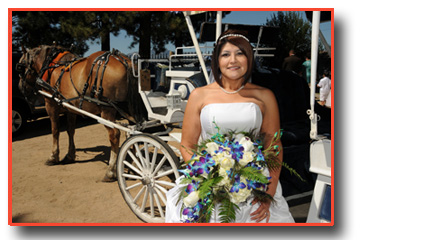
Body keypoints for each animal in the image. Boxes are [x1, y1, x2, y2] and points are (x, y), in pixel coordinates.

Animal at [17, 45, 145, 181]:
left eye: (19, 66)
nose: (20, 87)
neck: (51, 66)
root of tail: (125, 61)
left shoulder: (50, 105)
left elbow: (55, 130)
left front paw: (53, 156)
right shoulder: (71, 108)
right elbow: (70, 130)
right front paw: (70, 155)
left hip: (107, 110)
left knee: (115, 135)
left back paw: (111, 171)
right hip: (129, 109)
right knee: (134, 131)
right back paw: (134, 165)